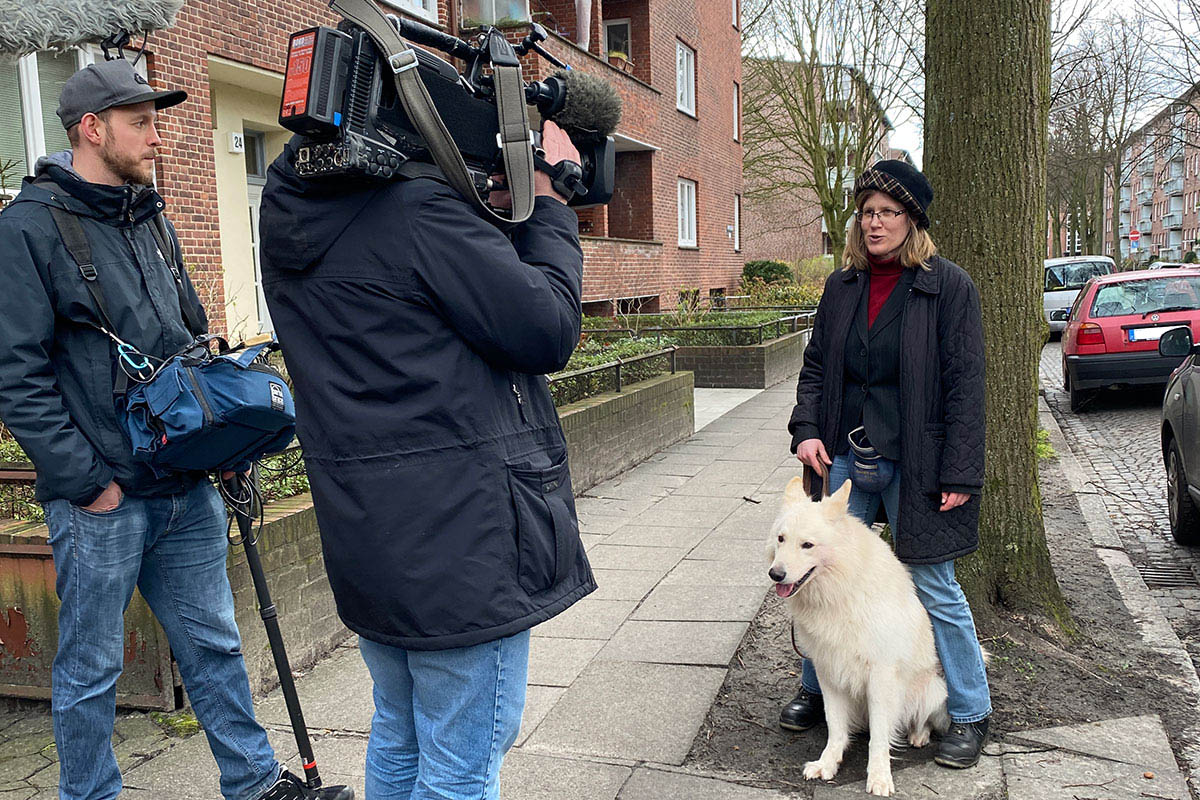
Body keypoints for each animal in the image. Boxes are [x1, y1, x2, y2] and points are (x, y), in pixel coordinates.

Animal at [768, 474, 945, 796]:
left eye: (807, 544)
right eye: (781, 539)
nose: (775, 574)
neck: (838, 592)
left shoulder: (881, 675)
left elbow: (879, 736)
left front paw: (879, 777)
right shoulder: (828, 671)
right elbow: (836, 726)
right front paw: (828, 763)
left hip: (932, 689)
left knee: (924, 718)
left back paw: (919, 735)